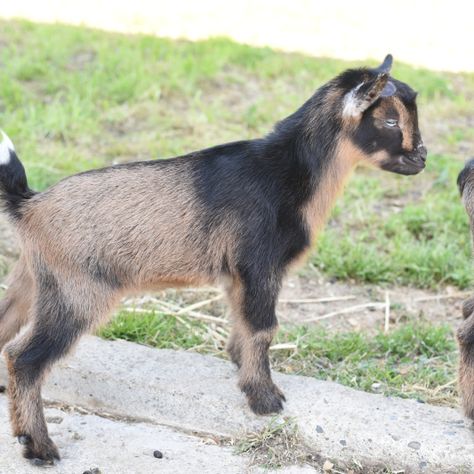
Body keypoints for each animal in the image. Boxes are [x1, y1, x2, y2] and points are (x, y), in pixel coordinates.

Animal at [0, 54, 428, 462]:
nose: (422, 158)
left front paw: (241, 367)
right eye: (390, 119)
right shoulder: (258, 264)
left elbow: (242, 322)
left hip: (32, 280)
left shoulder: (238, 274)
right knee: (24, 358)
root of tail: (30, 205)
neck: (286, 171)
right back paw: (37, 446)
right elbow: (263, 328)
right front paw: (265, 399)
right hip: (77, 292)